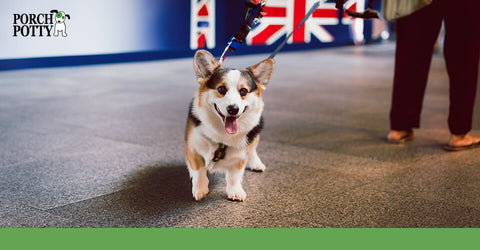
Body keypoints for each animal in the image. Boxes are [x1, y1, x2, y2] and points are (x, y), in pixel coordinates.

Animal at [185, 50, 274, 201]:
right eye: (221, 89)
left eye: (243, 91)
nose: (233, 109)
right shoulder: (192, 147)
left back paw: (256, 164)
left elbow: (234, 176)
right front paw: (200, 188)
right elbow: (199, 170)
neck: (223, 134)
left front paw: (235, 191)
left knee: (253, 150)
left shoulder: (240, 157)